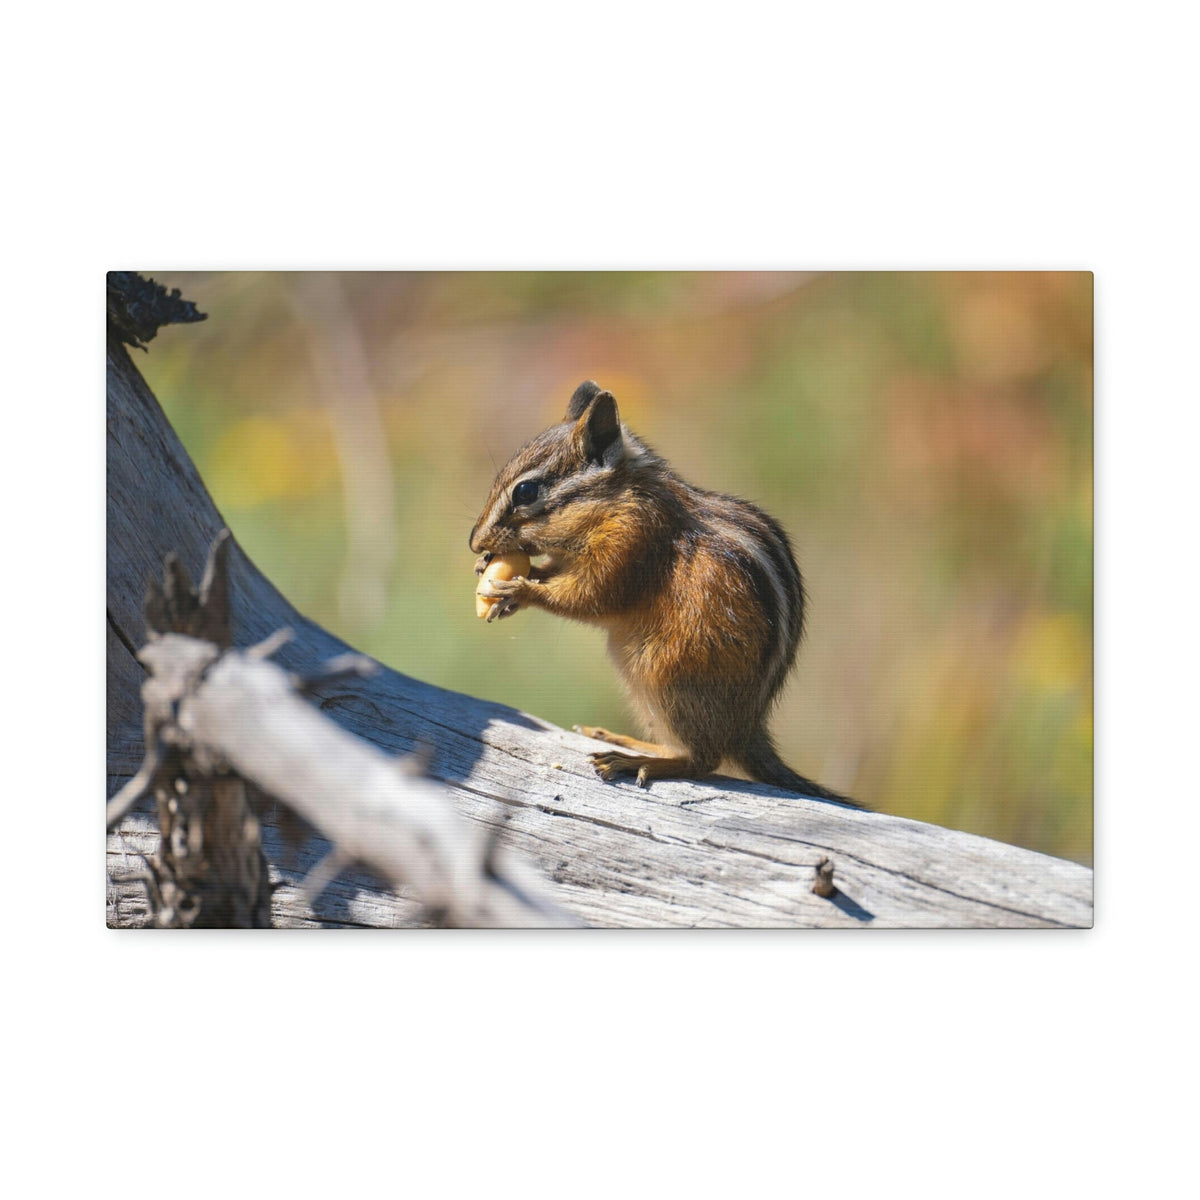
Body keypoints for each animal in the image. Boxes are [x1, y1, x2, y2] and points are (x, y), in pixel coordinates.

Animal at [469, 380, 859, 807]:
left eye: (526, 491)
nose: (475, 542)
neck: (619, 499)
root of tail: (745, 730)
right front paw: (497, 573)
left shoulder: (633, 543)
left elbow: (592, 597)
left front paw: (518, 589)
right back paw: (623, 741)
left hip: (667, 675)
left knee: (703, 760)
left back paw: (636, 761)